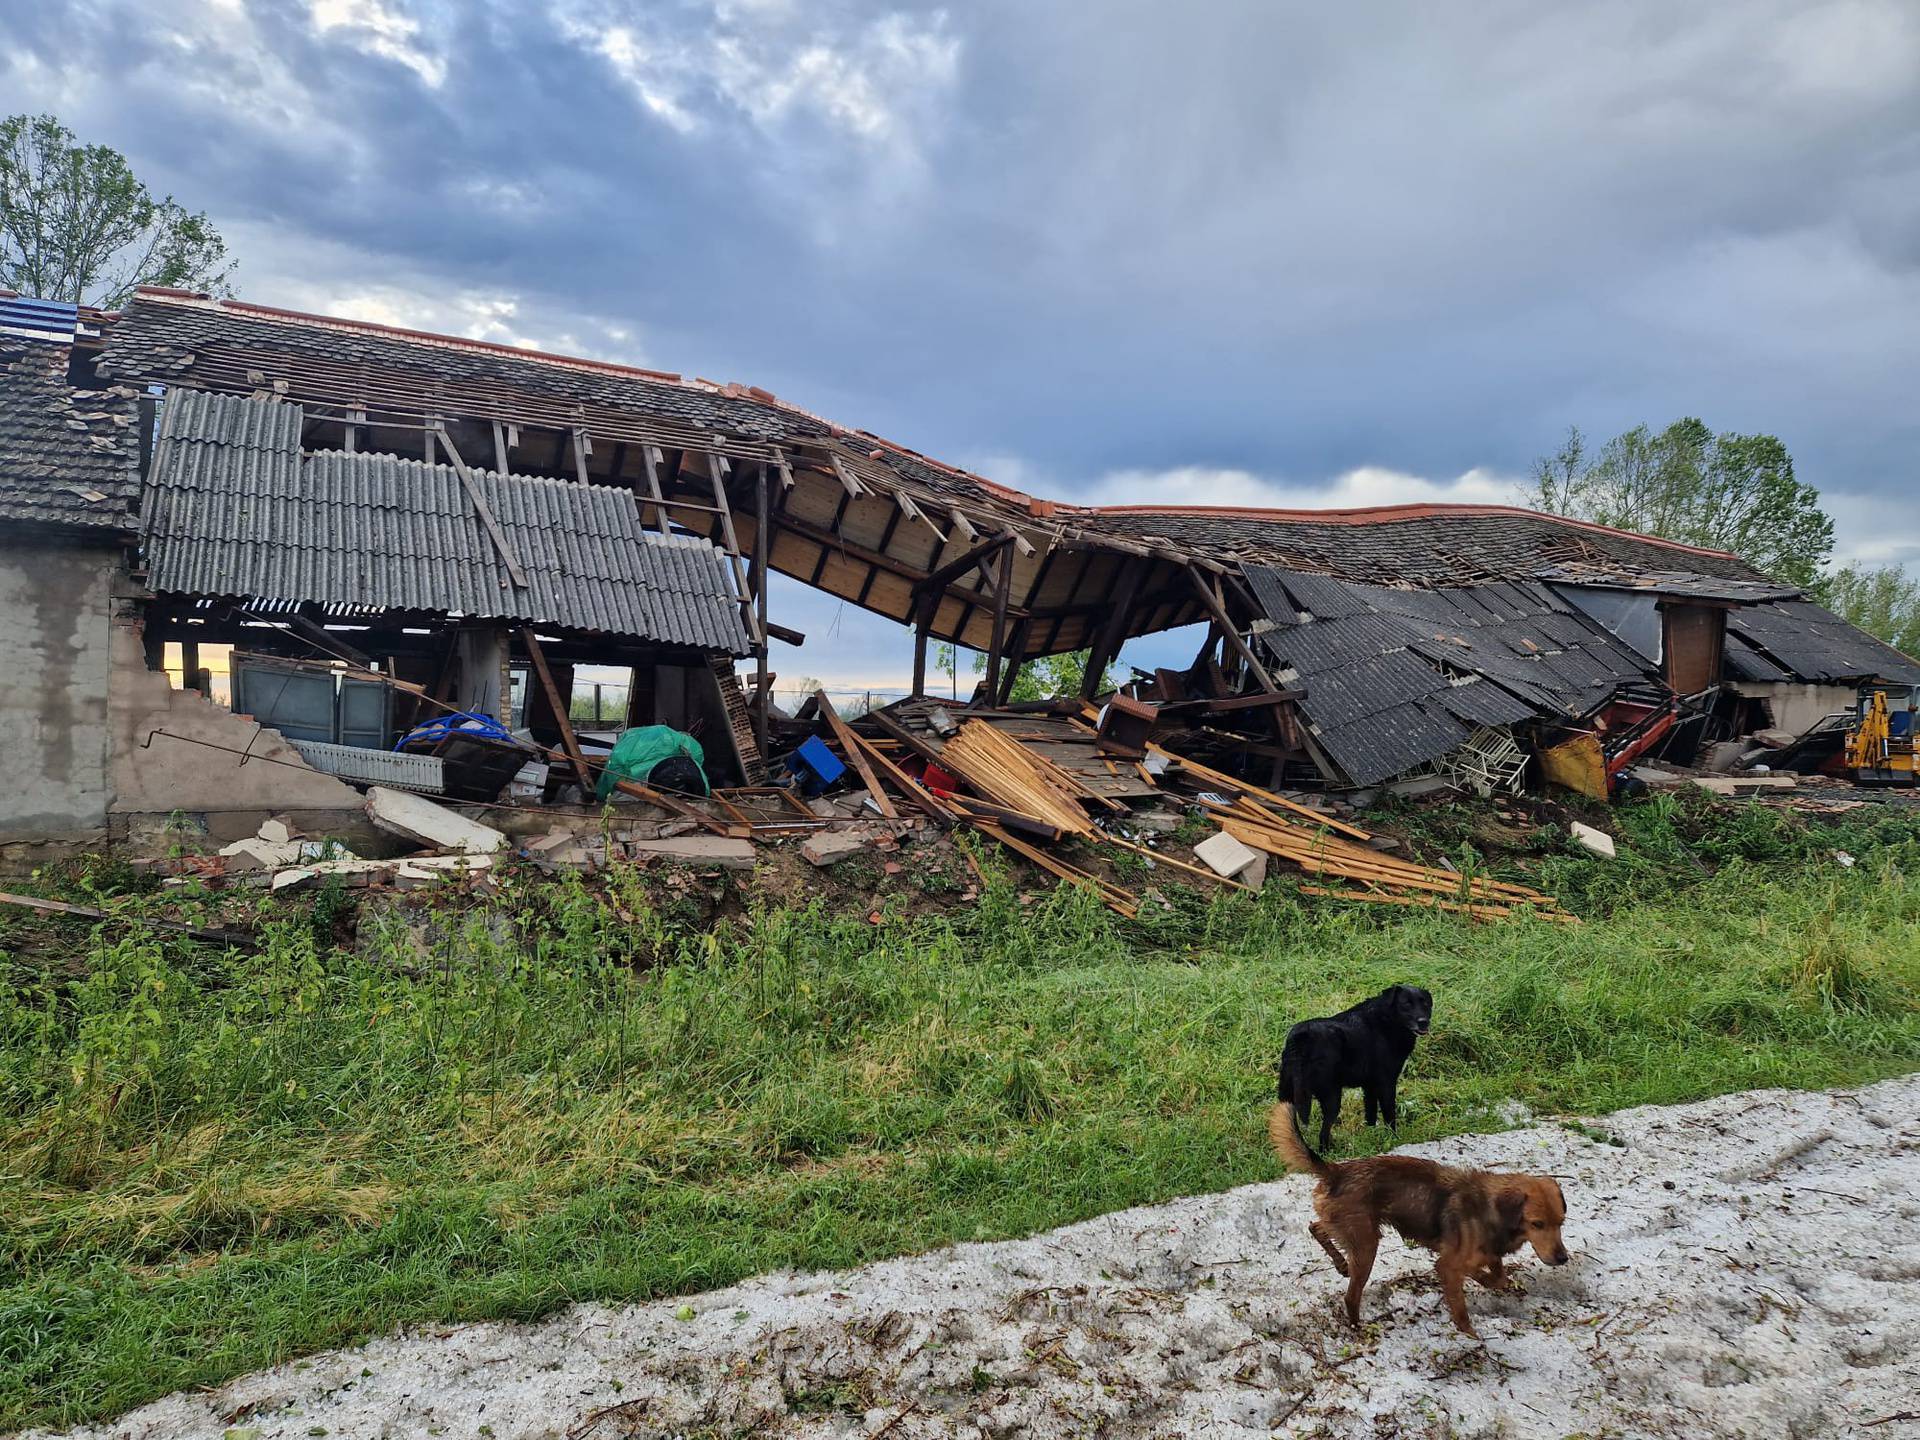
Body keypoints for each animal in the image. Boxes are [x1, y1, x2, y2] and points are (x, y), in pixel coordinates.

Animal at [1267, 1105, 1566, 1344]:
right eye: (1537, 1224)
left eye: (1561, 1222)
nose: (1563, 1259)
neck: (1490, 1208)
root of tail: (1336, 1170)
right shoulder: (1448, 1264)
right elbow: (1461, 1305)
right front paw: (1470, 1335)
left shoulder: (1482, 1256)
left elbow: (1497, 1275)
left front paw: (1486, 1278)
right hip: (1366, 1246)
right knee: (1351, 1297)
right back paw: (1358, 1329)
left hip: (1347, 1227)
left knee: (1315, 1227)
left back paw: (1340, 1264)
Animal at [1274, 983, 1428, 1152]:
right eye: (1406, 1004)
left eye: (1425, 1004)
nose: (1424, 1022)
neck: (1387, 1020)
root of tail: (1300, 1037)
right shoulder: (1386, 1084)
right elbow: (1389, 1115)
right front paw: (1394, 1139)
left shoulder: (1369, 1087)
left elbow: (1371, 1115)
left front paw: (1371, 1138)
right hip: (1332, 1096)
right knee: (1323, 1133)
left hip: (1287, 1096)